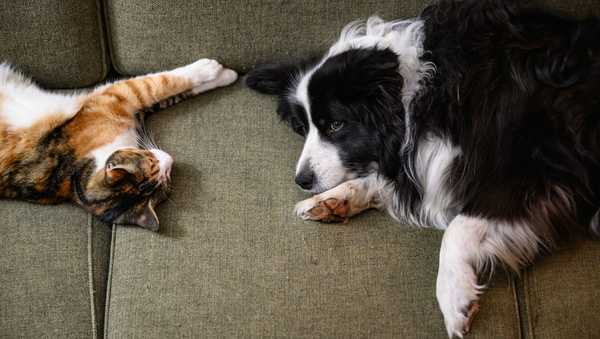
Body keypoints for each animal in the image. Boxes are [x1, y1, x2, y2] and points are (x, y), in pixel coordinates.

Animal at [0, 59, 238, 232]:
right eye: (157, 169)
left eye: (166, 179)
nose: (170, 160)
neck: (74, 173)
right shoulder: (116, 97)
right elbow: (160, 83)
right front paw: (211, 68)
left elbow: (172, 94)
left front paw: (228, 76)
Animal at [245, 1, 600, 338]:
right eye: (301, 128)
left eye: (335, 125)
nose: (302, 181)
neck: (420, 93)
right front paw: (334, 200)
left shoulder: (530, 169)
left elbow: (458, 226)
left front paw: (454, 297)